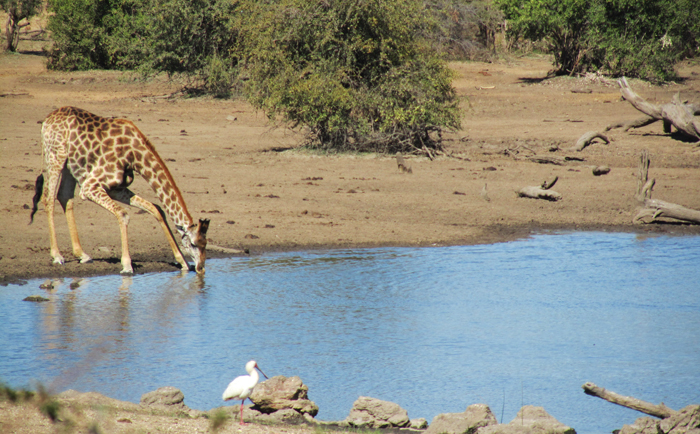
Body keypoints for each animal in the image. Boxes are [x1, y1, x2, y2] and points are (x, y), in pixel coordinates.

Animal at [30, 106, 210, 274]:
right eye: (193, 244)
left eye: (205, 243)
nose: (201, 268)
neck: (135, 154)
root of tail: (47, 120)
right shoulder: (90, 187)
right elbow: (123, 214)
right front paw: (127, 265)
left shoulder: (116, 188)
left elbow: (156, 208)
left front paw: (183, 263)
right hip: (55, 156)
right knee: (48, 197)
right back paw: (57, 256)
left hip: (70, 164)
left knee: (64, 195)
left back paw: (82, 254)